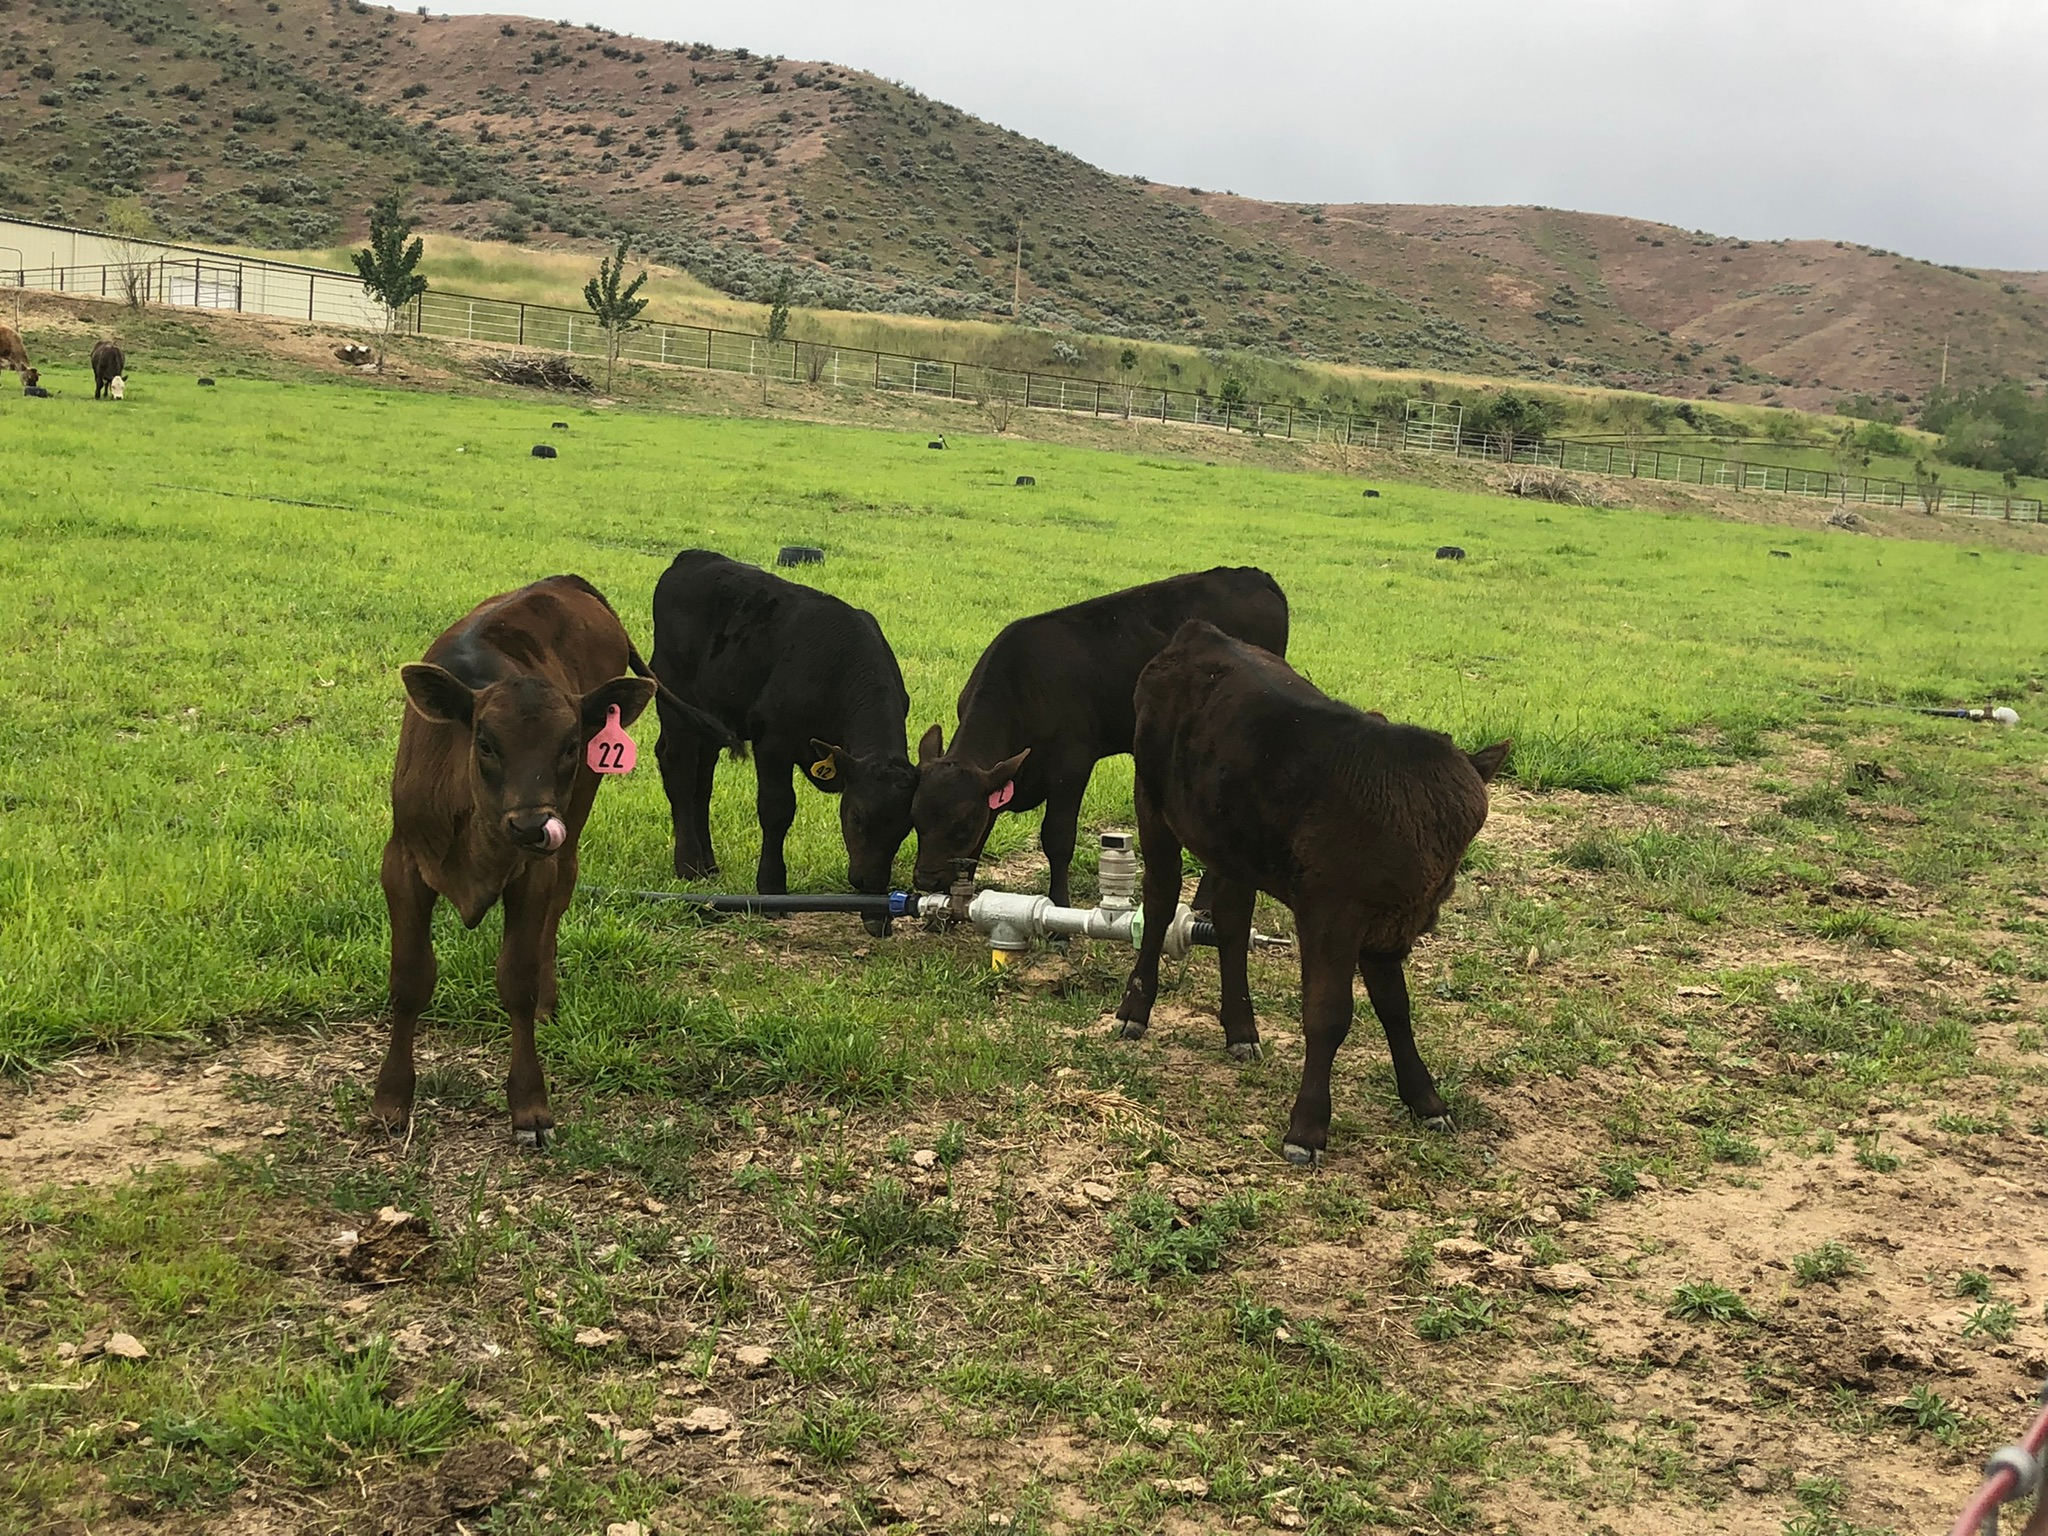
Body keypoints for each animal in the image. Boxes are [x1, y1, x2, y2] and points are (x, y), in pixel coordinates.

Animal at [376, 574, 729, 1146]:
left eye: (568, 745)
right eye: (485, 743)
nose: (529, 825)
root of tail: (565, 581)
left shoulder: (533, 871)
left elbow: (516, 980)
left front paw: (529, 1105)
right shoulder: (402, 864)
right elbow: (409, 981)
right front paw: (390, 1100)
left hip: (578, 812)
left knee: (560, 898)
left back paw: (547, 999)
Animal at [651, 550, 918, 936]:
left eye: (905, 829)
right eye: (856, 817)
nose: (869, 884)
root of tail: (689, 558)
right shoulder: (773, 741)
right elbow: (777, 810)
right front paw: (772, 890)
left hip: (712, 717)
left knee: (703, 782)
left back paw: (709, 865)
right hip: (674, 699)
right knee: (679, 770)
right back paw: (688, 866)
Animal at [911, 567, 1288, 908]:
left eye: (961, 825)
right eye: (915, 819)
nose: (925, 881)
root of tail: (1253, 574)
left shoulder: (1072, 763)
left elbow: (1058, 837)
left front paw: (1059, 911)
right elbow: (986, 829)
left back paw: (1205, 902)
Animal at [1113, 621, 1509, 1167]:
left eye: (1468, 825)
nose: (1438, 881)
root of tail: (1201, 632)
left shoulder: (1390, 929)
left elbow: (1395, 1008)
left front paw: (1426, 1101)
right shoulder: (1330, 916)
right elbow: (1328, 1015)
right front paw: (1307, 1129)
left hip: (1233, 842)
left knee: (1232, 920)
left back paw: (1241, 1030)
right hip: (1151, 804)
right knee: (1159, 900)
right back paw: (1135, 1010)